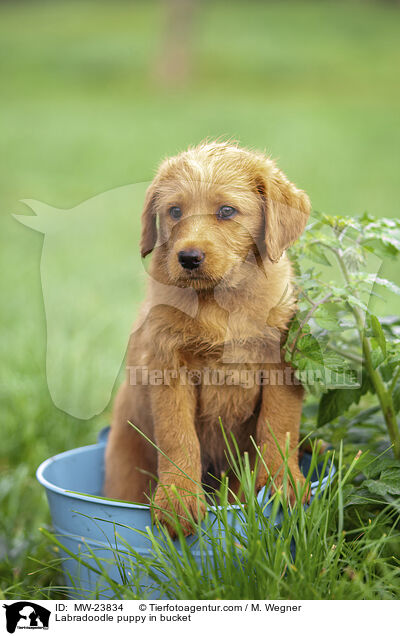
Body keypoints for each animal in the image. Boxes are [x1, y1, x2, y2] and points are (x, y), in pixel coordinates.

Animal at [104, 140, 310, 536]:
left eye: (227, 211)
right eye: (174, 211)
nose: (188, 257)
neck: (219, 301)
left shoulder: (282, 362)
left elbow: (278, 425)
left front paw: (281, 482)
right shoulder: (169, 366)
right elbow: (178, 435)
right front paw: (178, 498)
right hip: (124, 463)